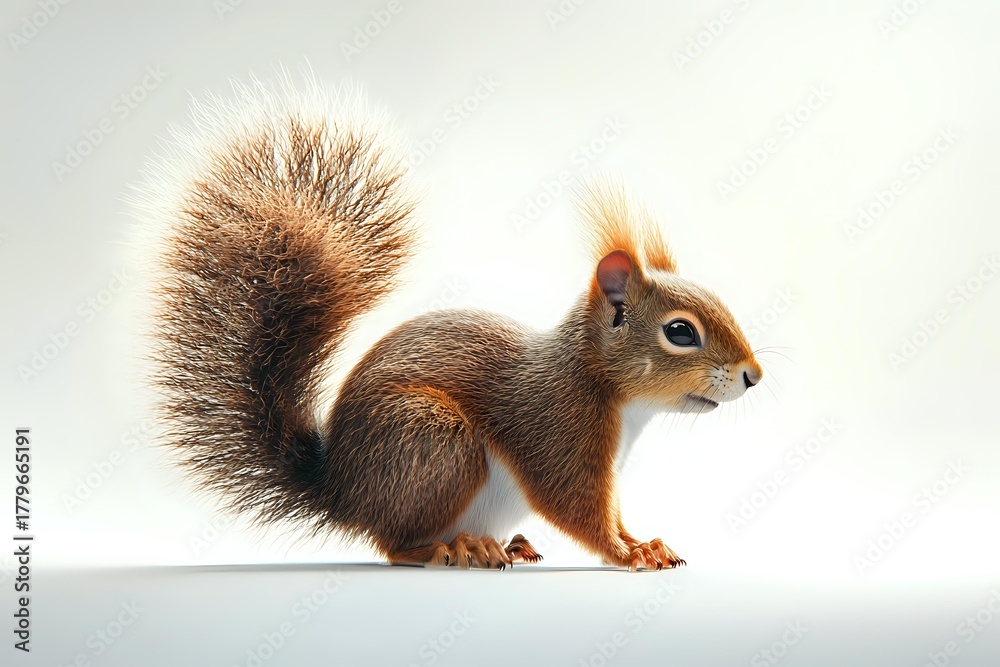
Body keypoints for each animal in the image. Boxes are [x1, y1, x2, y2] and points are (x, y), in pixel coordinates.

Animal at [133, 76, 763, 571]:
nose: (754, 375)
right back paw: (452, 549)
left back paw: (506, 545)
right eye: (680, 332)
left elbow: (613, 510)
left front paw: (643, 542)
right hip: (435, 444)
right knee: (392, 544)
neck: (612, 394)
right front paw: (626, 553)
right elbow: (576, 507)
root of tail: (340, 489)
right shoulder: (556, 428)